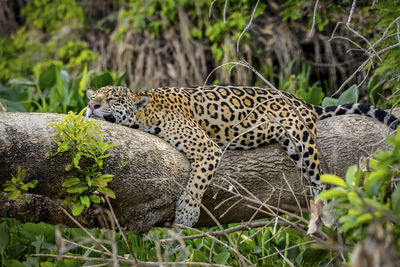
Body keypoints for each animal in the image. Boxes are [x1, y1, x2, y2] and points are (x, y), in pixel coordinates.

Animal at [86, 85, 398, 227]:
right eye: (94, 96)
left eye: (112, 98)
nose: (91, 105)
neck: (145, 113)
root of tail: (302, 101)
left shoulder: (207, 148)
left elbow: (197, 182)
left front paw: (187, 213)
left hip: (302, 142)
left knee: (319, 179)